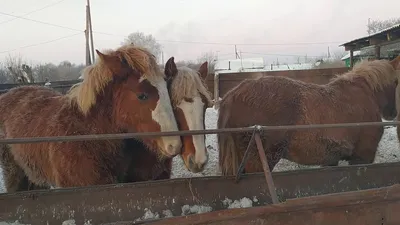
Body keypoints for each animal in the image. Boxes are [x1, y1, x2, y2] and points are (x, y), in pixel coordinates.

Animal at [217, 56, 400, 176]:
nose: (392, 113)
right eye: (396, 81)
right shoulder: (362, 157)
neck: (363, 94)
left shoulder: (331, 159)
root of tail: (233, 94)